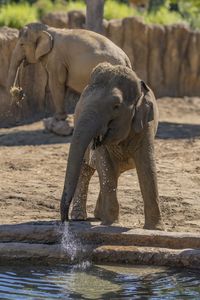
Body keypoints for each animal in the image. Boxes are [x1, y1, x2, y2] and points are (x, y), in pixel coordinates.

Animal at [60, 63, 165, 230]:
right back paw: (80, 217)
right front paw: (110, 224)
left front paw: (156, 229)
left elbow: (147, 165)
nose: (64, 221)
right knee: (86, 170)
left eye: (116, 106)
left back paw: (97, 215)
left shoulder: (146, 127)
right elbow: (105, 165)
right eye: (81, 104)